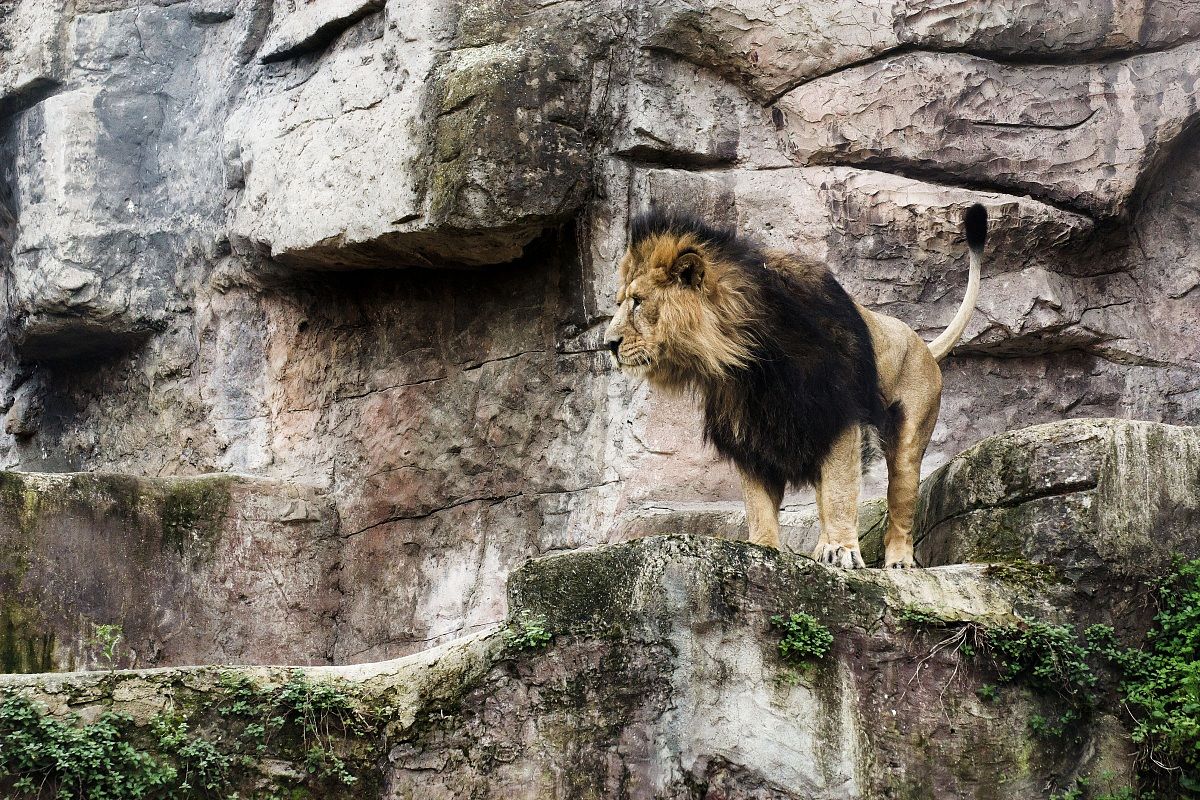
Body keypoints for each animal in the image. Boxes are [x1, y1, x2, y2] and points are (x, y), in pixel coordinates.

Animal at [604, 204, 987, 569]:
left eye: (638, 301)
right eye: (620, 302)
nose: (607, 343)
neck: (750, 361)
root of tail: (922, 343)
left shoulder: (836, 415)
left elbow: (840, 493)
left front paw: (842, 550)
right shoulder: (751, 435)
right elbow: (759, 504)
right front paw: (762, 548)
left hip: (909, 438)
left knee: (901, 507)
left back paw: (898, 562)